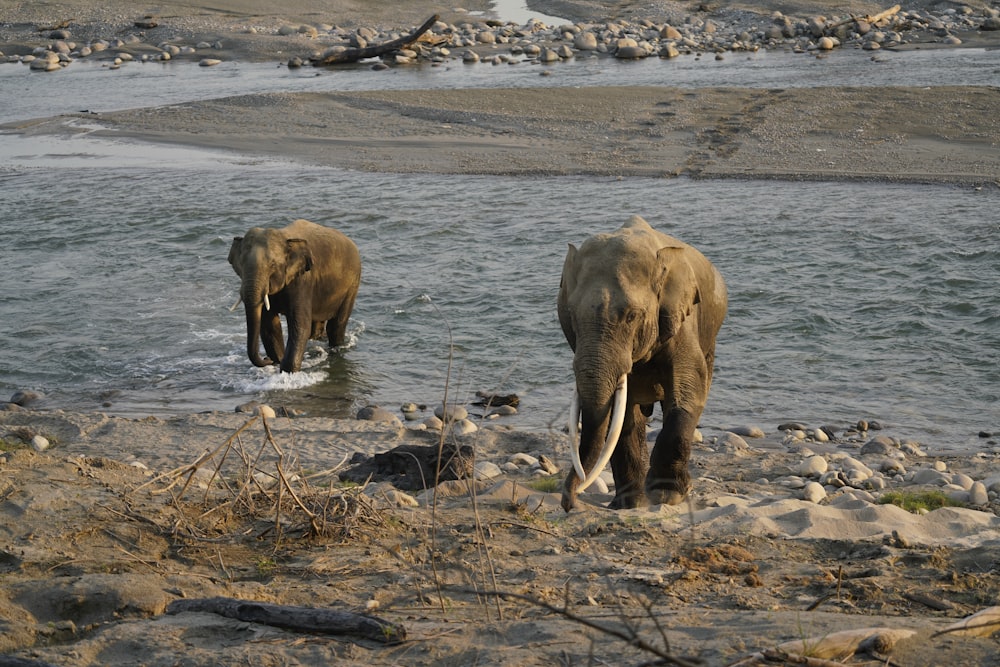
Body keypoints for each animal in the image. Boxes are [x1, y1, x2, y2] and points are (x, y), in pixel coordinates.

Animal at [556, 214, 728, 512]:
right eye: (572, 315)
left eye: (631, 316)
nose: (570, 503)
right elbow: (622, 413)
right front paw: (629, 505)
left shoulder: (682, 321)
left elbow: (688, 390)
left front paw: (666, 496)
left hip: (710, 337)